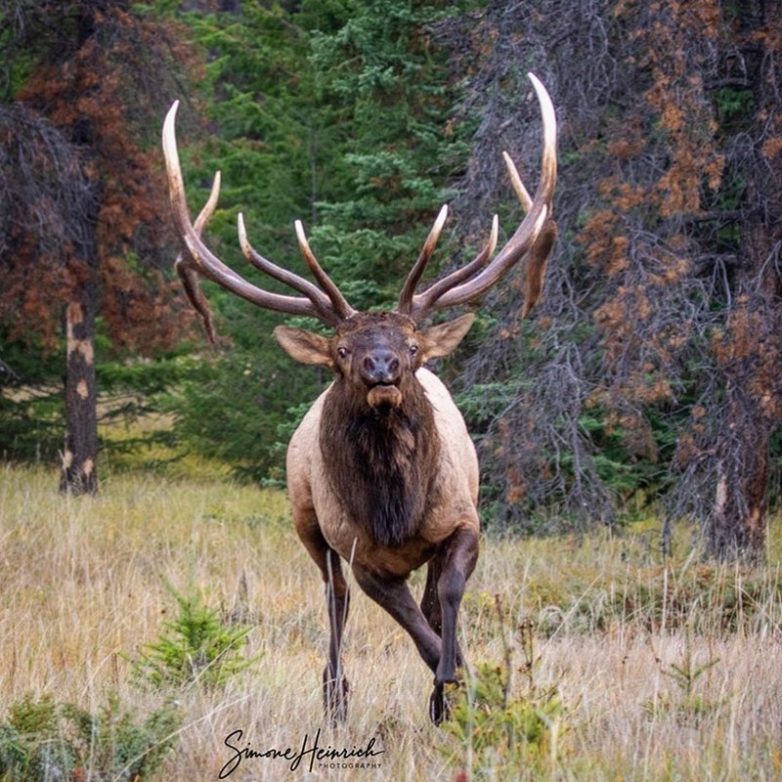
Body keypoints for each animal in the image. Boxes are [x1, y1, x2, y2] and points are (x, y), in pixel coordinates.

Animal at [162, 75, 556, 728]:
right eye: (342, 349)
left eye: (414, 345)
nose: (381, 367)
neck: (397, 512)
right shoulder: (361, 553)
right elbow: (410, 624)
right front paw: (453, 680)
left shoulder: (464, 519)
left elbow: (444, 600)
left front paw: (454, 689)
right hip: (306, 520)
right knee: (334, 599)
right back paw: (335, 694)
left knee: (419, 598)